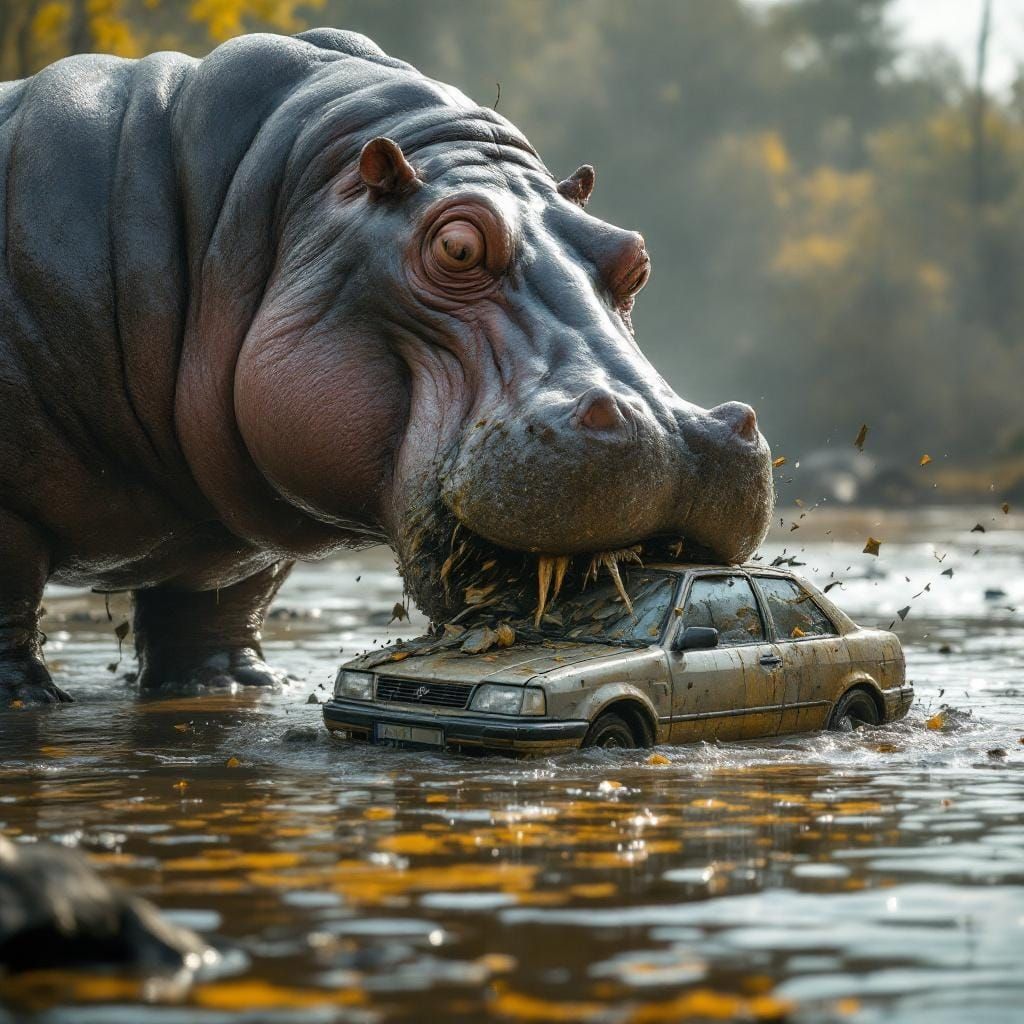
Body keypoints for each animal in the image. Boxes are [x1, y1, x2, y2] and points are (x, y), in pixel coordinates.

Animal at [0, 29, 773, 705]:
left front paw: (233, 689)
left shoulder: (230, 536)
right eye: (458, 246)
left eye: (631, 254)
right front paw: (27, 701)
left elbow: (218, 602)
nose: (675, 433)